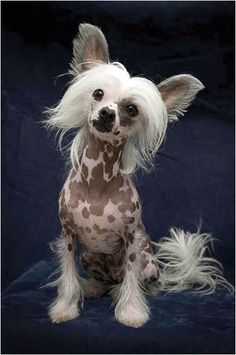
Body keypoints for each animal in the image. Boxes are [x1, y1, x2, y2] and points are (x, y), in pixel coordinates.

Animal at [45, 22, 233, 328]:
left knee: (138, 282)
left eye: (131, 110)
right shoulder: (69, 239)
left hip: (147, 261)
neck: (98, 183)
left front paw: (132, 313)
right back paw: (95, 288)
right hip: (90, 256)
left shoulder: (132, 241)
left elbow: (132, 283)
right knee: (104, 280)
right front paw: (65, 308)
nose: (107, 114)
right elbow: (68, 277)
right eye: (98, 94)